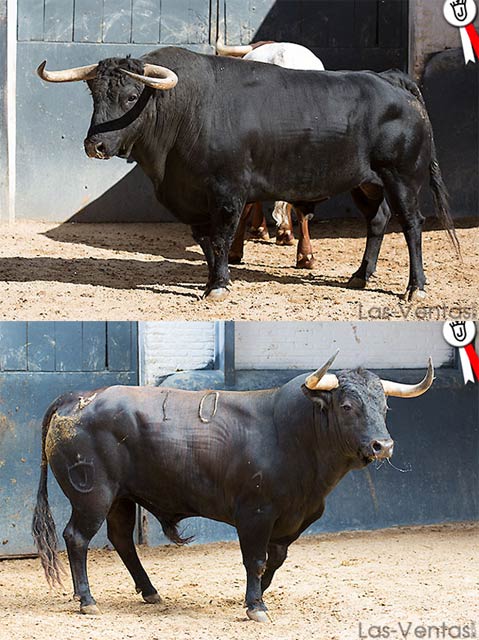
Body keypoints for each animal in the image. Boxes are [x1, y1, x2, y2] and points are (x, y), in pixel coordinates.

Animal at [31, 356, 434, 620]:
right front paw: (256, 606)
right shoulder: (255, 514)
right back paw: (87, 600)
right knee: (77, 538)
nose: (383, 446)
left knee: (121, 539)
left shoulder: (293, 520)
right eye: (347, 406)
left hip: (121, 498)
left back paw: (150, 592)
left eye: (385, 406)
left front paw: (256, 596)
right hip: (93, 495)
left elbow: (275, 560)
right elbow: (255, 559)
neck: (292, 435)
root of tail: (75, 398)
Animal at [38, 47, 462, 302]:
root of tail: (390, 79)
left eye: (130, 97)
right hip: (366, 182)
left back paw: (415, 288)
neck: (186, 111)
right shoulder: (190, 198)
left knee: (411, 224)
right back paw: (360, 275)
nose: (95, 145)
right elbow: (206, 241)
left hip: (402, 177)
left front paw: (219, 286)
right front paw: (213, 279)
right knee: (378, 220)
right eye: (95, 96)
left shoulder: (228, 192)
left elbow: (222, 236)